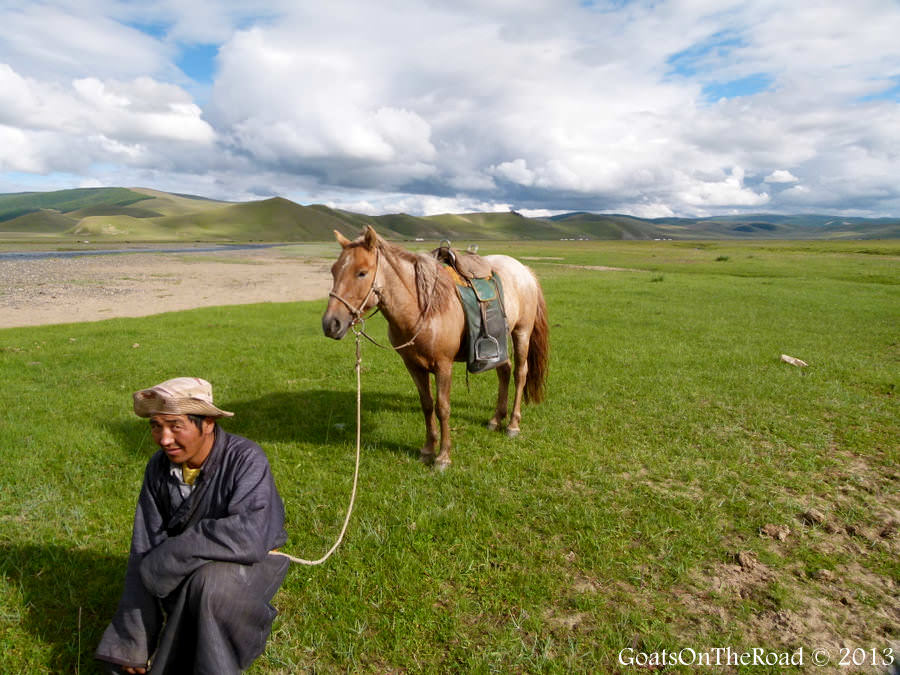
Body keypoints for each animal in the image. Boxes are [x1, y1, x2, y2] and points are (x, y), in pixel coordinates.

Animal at [324, 224, 548, 468]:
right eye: (334, 271)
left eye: (362, 272)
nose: (330, 324)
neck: (422, 308)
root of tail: (524, 270)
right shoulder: (414, 366)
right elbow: (427, 404)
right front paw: (428, 449)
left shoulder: (443, 365)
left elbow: (443, 408)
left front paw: (443, 456)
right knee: (504, 371)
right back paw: (496, 419)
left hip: (521, 333)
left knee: (519, 373)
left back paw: (513, 425)